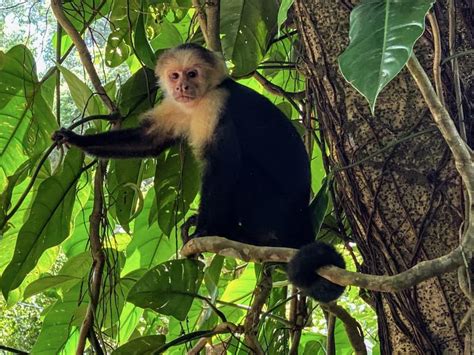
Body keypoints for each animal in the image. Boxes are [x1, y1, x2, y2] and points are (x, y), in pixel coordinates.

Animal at [52, 42, 344, 304]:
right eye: (175, 75)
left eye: (192, 74)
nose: (182, 87)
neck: (198, 101)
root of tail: (302, 217)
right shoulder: (175, 106)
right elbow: (149, 141)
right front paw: (75, 139)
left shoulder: (216, 104)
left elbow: (222, 164)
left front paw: (206, 229)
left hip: (272, 208)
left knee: (241, 167)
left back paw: (229, 232)